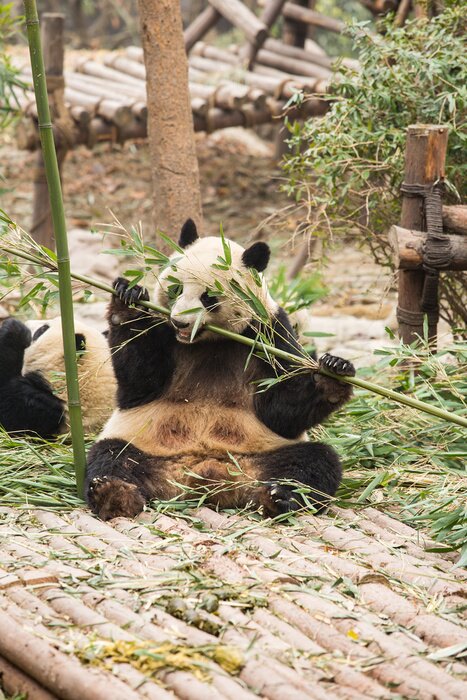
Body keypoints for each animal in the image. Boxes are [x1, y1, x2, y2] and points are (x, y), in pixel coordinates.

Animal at [86, 219, 355, 521]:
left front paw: (333, 371)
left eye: (208, 297)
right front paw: (128, 298)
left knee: (315, 462)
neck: (207, 342)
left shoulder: (269, 332)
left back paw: (279, 497)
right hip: (143, 443)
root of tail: (207, 477)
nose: (180, 322)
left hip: (266, 453)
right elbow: (139, 381)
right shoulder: (162, 329)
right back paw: (114, 494)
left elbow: (283, 410)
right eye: (176, 289)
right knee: (111, 456)